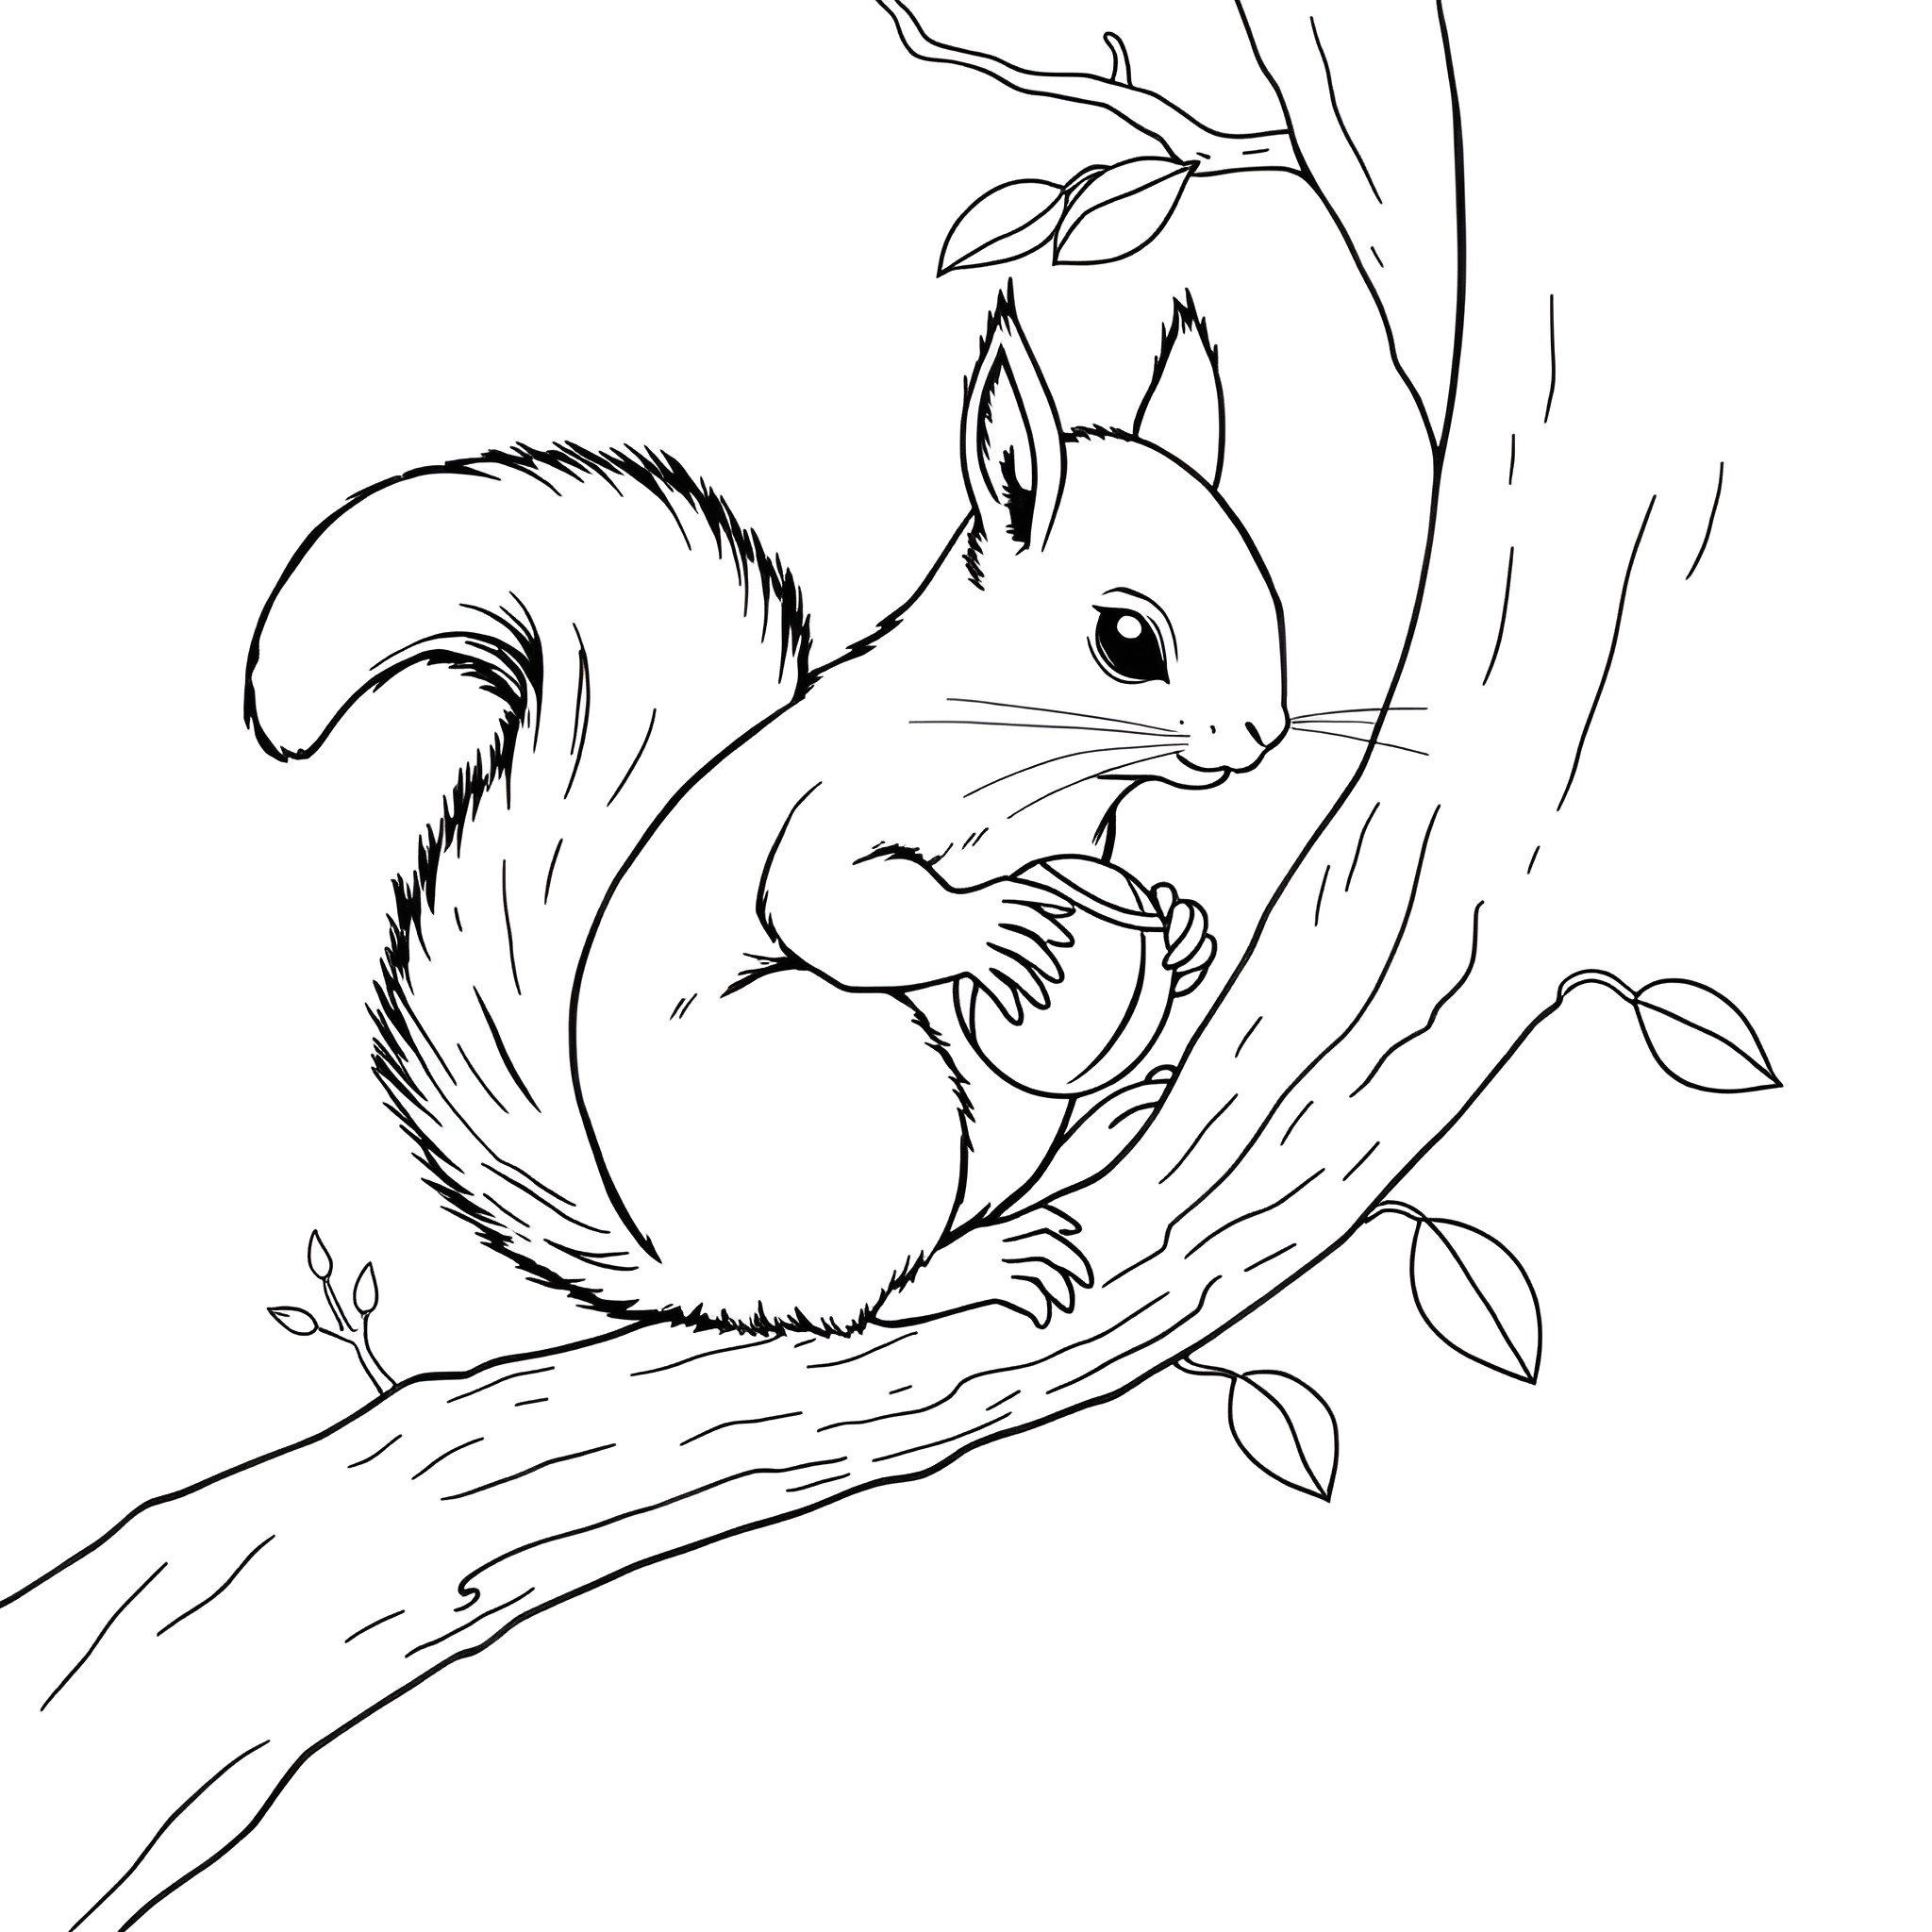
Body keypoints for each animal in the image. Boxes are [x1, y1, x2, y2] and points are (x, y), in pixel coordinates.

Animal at [244, 290, 1287, 1336]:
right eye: (1126, 639)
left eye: (1265, 589)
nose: (1260, 735)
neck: (1044, 766)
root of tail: (695, 1272)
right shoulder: (851, 798)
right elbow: (820, 896)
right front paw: (995, 925)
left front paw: (1182, 927)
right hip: (857, 1075)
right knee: (862, 1294)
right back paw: (976, 1263)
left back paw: (1113, 1116)